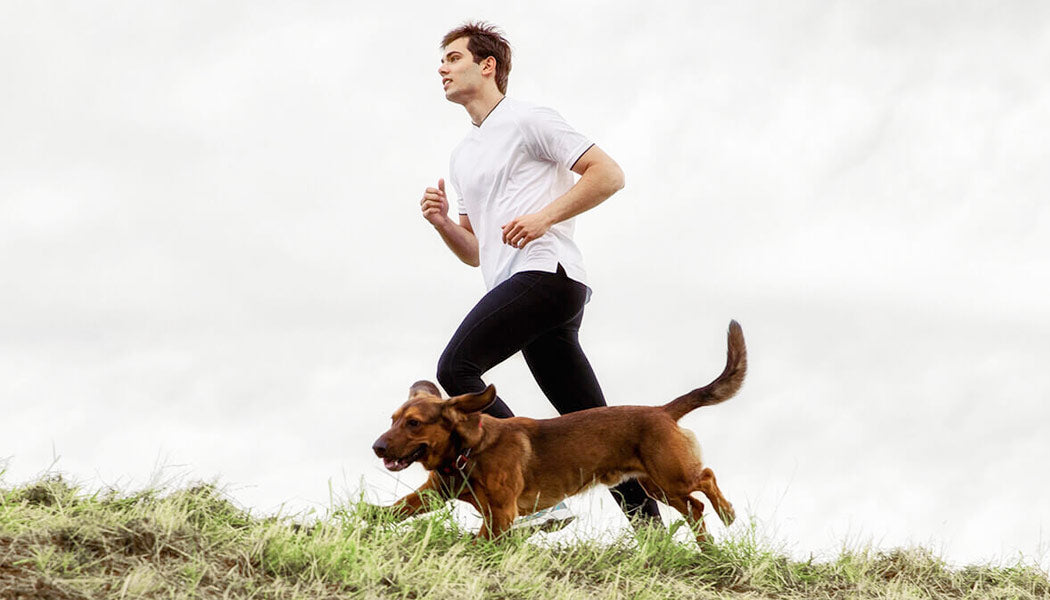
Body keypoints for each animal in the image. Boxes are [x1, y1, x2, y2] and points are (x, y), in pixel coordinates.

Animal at [369, 321, 747, 542]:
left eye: (414, 423)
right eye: (392, 419)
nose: (377, 447)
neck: (468, 451)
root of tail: (662, 410)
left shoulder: (501, 514)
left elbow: (478, 543)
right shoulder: (431, 494)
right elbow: (395, 510)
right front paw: (365, 518)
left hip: (672, 476)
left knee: (707, 479)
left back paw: (727, 512)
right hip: (655, 485)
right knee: (695, 508)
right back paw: (707, 546)